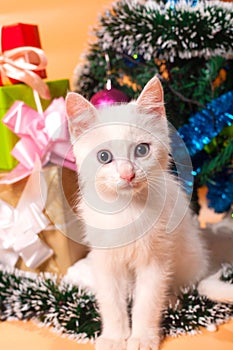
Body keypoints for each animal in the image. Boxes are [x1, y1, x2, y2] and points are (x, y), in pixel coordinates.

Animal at [64, 77, 232, 350]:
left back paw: (172, 298)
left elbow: (148, 301)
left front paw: (142, 337)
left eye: (142, 150)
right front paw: (114, 337)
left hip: (189, 255)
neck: (127, 209)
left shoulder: (156, 259)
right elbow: (111, 301)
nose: (127, 174)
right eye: (104, 157)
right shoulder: (105, 260)